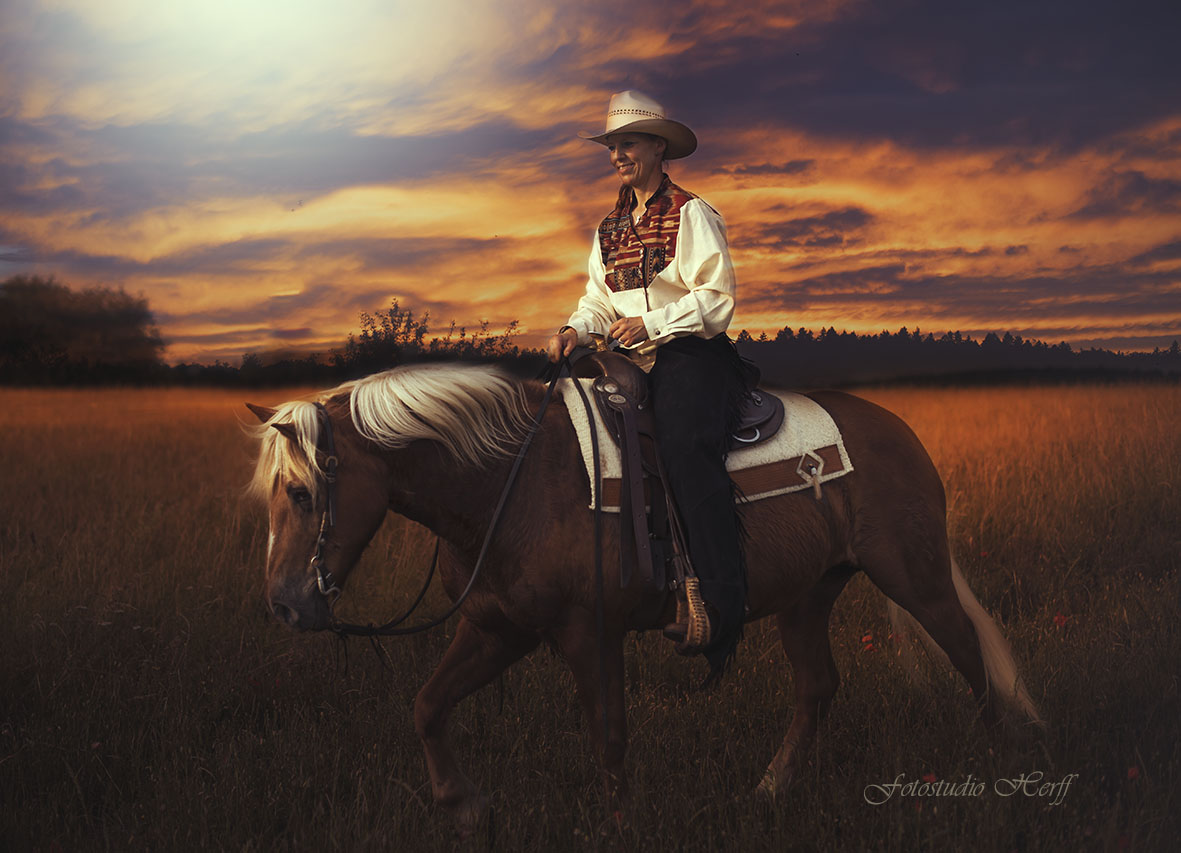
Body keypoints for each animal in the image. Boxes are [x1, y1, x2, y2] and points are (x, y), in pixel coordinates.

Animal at [246, 359, 1044, 831]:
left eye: (301, 491)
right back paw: (770, 789)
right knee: (818, 685)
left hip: (913, 574)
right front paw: (463, 805)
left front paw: (617, 826)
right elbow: (428, 705)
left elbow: (608, 735)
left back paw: (1005, 768)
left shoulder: (588, 633)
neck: (512, 482)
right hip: (808, 595)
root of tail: (898, 430)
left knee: (969, 653)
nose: (284, 606)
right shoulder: (497, 626)